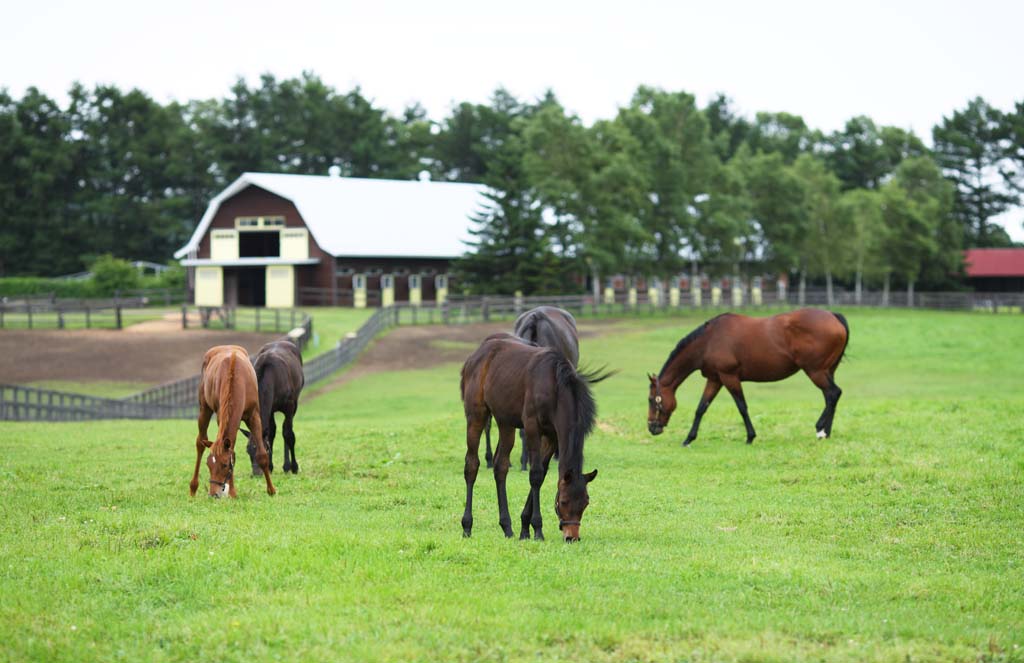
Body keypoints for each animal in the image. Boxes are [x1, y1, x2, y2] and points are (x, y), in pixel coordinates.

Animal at [191, 348, 276, 498]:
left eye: (224, 465)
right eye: (208, 464)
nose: (213, 494)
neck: (237, 378)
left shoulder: (254, 416)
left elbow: (261, 454)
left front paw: (271, 489)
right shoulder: (221, 416)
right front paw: (232, 492)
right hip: (204, 409)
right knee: (200, 442)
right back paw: (193, 487)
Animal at [242, 342, 303, 477]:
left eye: (265, 448)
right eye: (248, 450)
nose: (256, 473)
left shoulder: (289, 406)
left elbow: (288, 434)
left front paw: (294, 467)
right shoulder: (269, 410)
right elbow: (270, 433)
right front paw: (269, 467)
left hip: (295, 402)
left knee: (287, 430)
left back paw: (287, 466)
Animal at [460, 334, 602, 541]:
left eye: (586, 502)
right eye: (564, 501)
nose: (572, 537)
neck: (554, 385)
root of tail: (476, 356)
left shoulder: (552, 436)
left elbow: (541, 474)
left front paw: (525, 528)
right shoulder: (532, 428)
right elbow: (535, 474)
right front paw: (537, 529)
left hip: (506, 422)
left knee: (501, 466)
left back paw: (507, 527)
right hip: (476, 416)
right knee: (472, 465)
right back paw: (467, 526)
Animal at [647, 309, 847, 446]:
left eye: (651, 399)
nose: (651, 427)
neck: (708, 341)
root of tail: (833, 316)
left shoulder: (729, 377)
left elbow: (742, 407)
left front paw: (750, 437)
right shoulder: (715, 379)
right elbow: (701, 408)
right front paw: (689, 438)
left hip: (815, 371)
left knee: (833, 393)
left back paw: (820, 429)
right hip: (826, 371)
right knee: (831, 397)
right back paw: (826, 432)